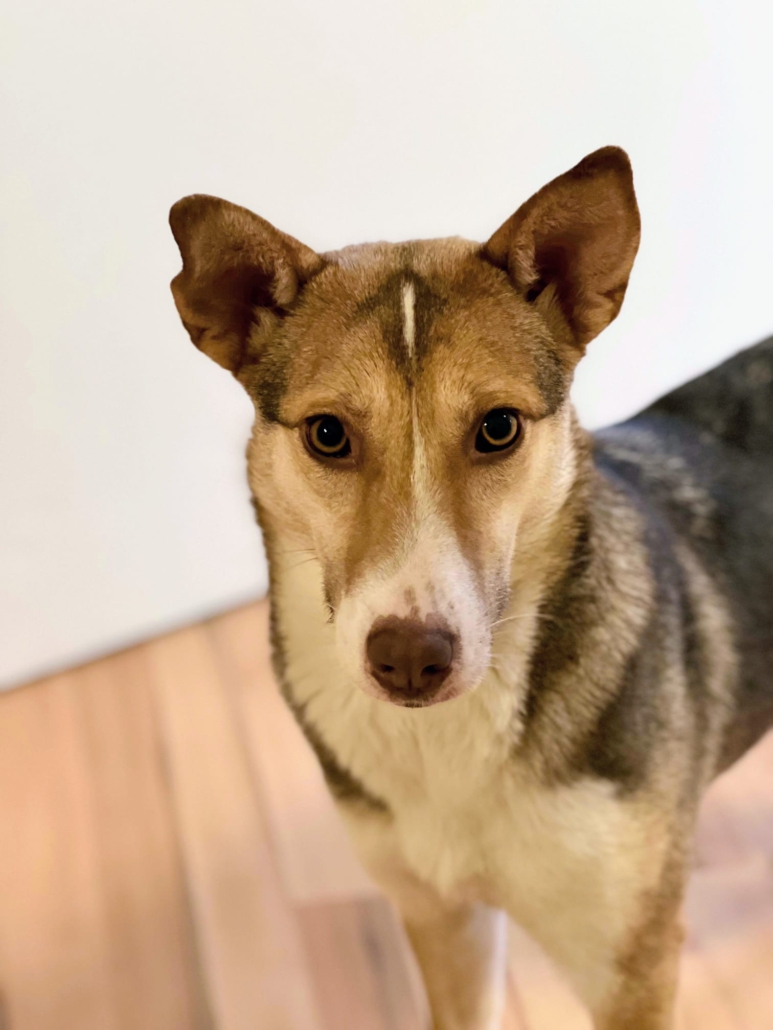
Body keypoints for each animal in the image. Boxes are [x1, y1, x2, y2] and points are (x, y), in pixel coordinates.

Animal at [168, 147, 773, 1030]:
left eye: (498, 428)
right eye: (327, 434)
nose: (410, 658)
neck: (445, 745)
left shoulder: (631, 966)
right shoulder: (440, 919)